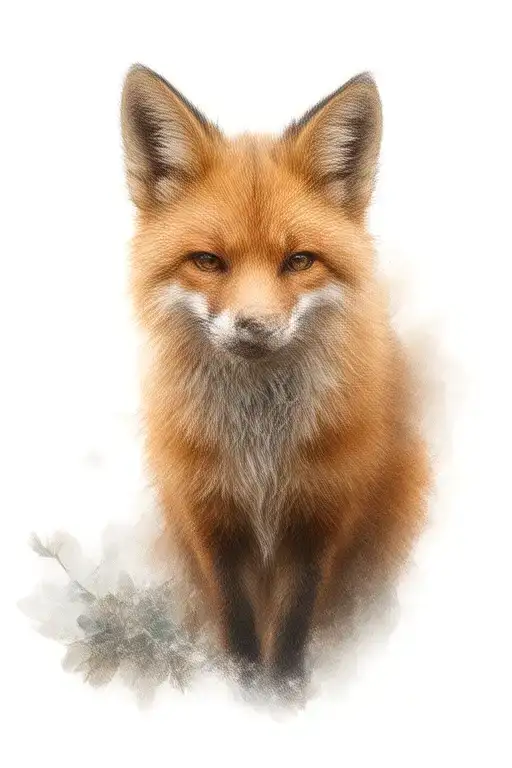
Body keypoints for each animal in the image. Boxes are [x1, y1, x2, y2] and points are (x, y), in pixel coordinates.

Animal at [120, 64, 431, 682]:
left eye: (299, 261)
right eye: (207, 261)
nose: (254, 326)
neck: (260, 458)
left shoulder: (320, 524)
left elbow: (290, 633)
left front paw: (282, 693)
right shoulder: (210, 524)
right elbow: (238, 628)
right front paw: (241, 690)